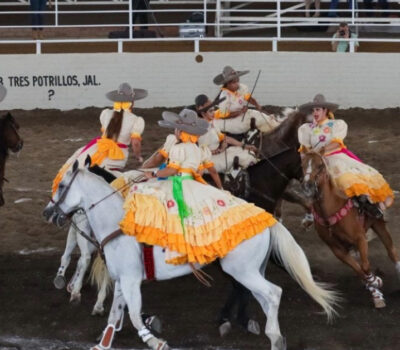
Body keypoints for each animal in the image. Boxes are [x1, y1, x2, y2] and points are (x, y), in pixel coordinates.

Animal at [43, 163, 338, 350]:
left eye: (62, 186)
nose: (48, 213)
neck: (117, 223)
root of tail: (266, 218)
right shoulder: (121, 281)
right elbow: (115, 317)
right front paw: (103, 343)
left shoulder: (131, 280)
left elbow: (135, 316)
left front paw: (156, 341)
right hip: (254, 270)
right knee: (265, 299)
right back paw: (271, 334)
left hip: (242, 271)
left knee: (274, 293)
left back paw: (272, 336)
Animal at [302, 150, 400, 308]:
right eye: (302, 165)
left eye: (320, 166)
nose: (308, 186)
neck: (329, 212)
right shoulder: (337, 249)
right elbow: (358, 269)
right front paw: (374, 287)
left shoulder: (360, 238)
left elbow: (365, 266)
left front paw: (375, 281)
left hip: (378, 224)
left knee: (392, 252)